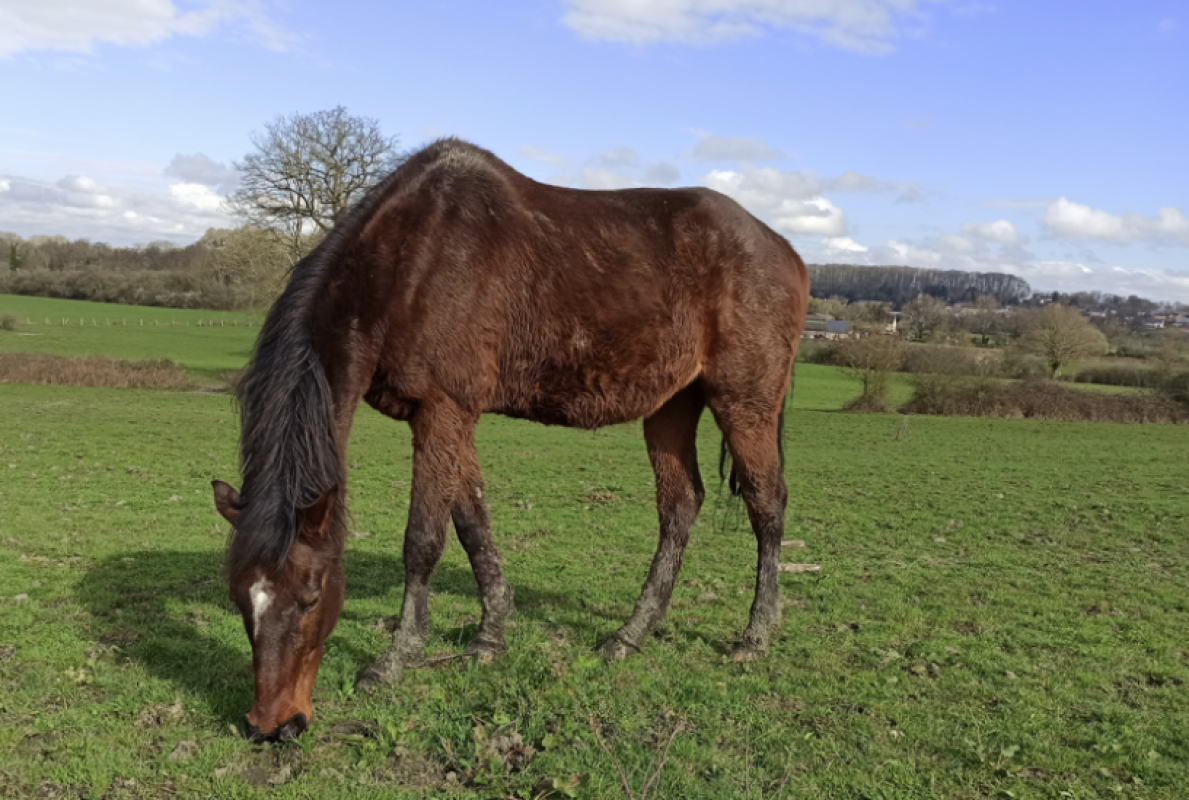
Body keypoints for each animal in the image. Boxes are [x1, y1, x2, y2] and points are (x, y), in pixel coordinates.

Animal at [211, 139, 809, 743]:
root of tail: (784, 249)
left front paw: (397, 657)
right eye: (239, 595)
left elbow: (423, 540)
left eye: (311, 597)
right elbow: (472, 523)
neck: (411, 261)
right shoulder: (448, 419)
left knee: (766, 506)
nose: (271, 725)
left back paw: (755, 635)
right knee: (681, 505)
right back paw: (629, 634)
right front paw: (490, 634)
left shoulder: (443, 410)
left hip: (744, 404)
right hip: (672, 406)